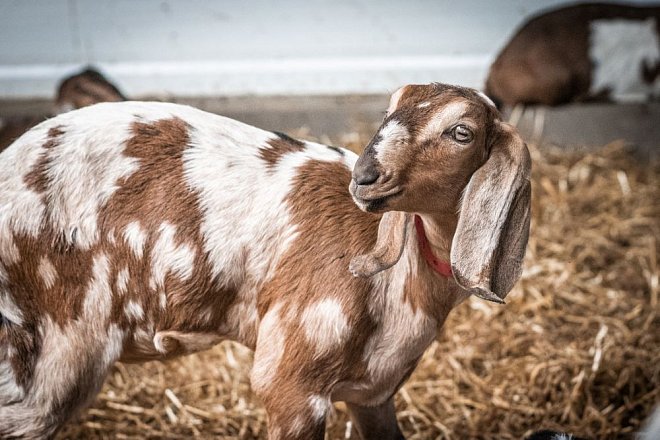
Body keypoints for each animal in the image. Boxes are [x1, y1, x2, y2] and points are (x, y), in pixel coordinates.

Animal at [0, 81, 532, 436]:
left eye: (461, 132)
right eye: (388, 109)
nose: (365, 175)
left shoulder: (374, 393)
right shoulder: (290, 385)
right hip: (47, 358)